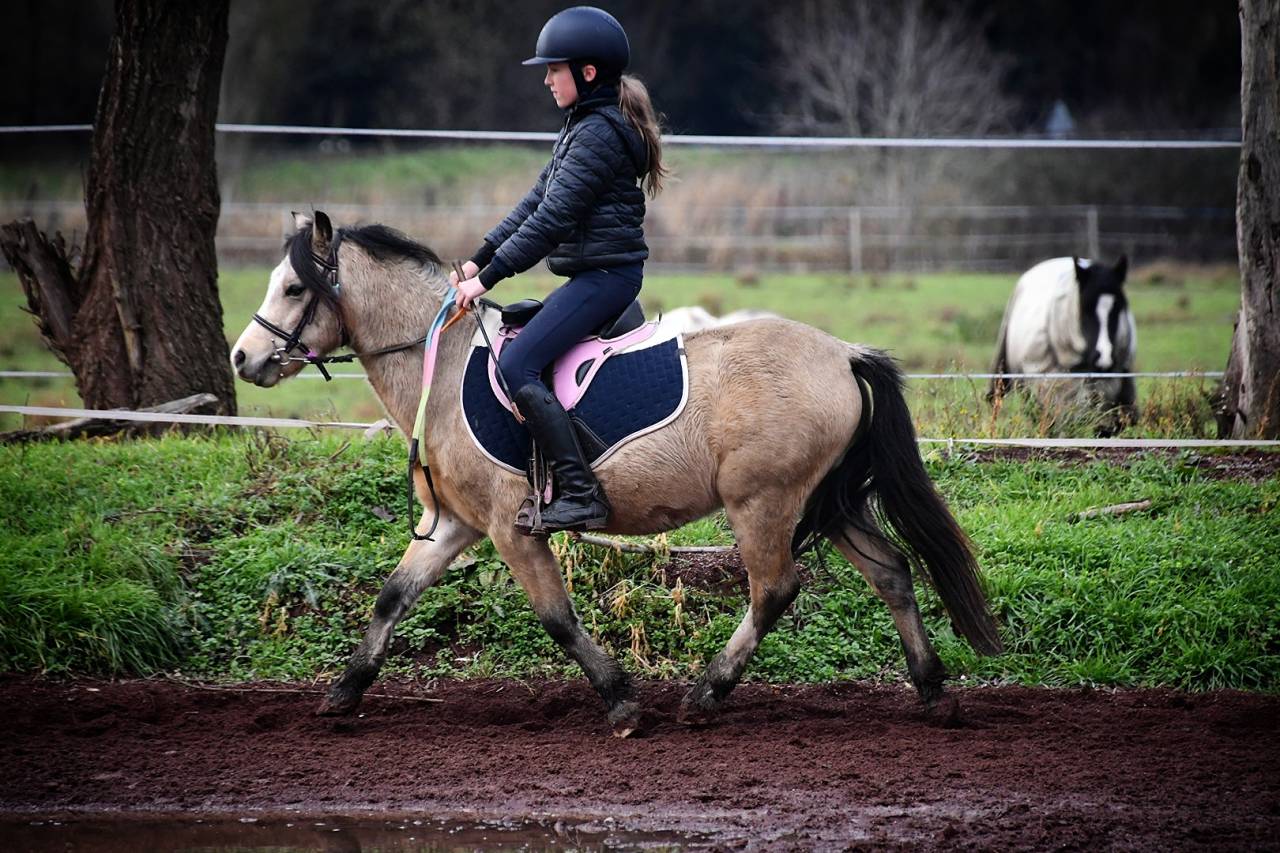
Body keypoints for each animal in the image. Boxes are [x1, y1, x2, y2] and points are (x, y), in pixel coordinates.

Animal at [231, 211, 1002, 736]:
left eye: (294, 286)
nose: (243, 358)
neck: (441, 365)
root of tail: (842, 352)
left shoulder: (512, 529)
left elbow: (556, 616)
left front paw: (622, 700)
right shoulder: (453, 523)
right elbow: (392, 598)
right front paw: (344, 691)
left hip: (763, 501)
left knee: (775, 589)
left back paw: (707, 693)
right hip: (828, 500)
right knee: (892, 572)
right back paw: (932, 690)